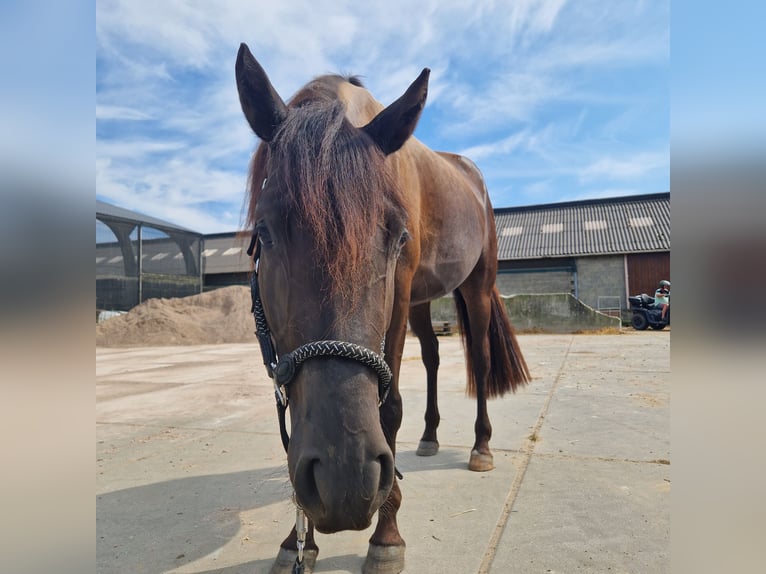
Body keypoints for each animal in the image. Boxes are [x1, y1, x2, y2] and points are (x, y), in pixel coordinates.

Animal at [237, 42, 532, 572]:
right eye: (264, 234)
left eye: (397, 238)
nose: (344, 479)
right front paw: (298, 541)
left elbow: (390, 406)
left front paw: (386, 534)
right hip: (420, 300)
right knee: (433, 357)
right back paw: (430, 438)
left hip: (475, 287)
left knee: (477, 359)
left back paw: (480, 446)